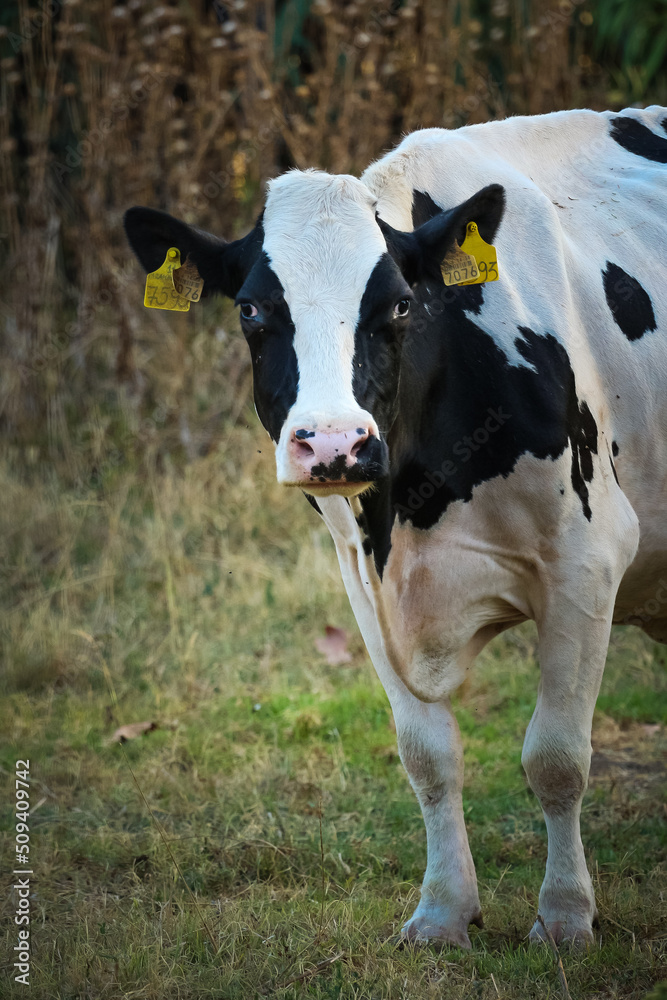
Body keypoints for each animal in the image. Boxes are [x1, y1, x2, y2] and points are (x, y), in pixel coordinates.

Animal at [125, 105, 667, 948]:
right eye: (251, 309)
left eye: (399, 306)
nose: (334, 444)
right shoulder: (359, 577)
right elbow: (426, 756)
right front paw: (443, 911)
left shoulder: (588, 561)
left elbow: (556, 757)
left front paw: (564, 917)